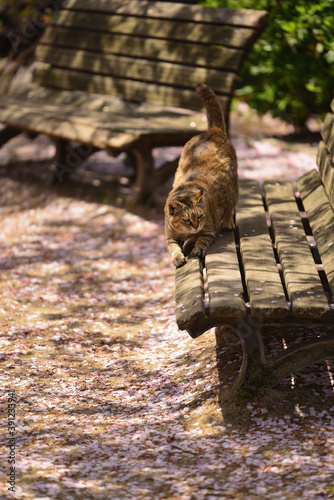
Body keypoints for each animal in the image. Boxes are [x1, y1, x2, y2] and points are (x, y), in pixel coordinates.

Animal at [164, 84, 237, 268]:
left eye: (199, 216)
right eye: (187, 220)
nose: (196, 226)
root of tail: (213, 130)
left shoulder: (208, 230)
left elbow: (201, 240)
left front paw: (195, 248)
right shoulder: (169, 237)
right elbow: (173, 248)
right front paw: (178, 256)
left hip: (233, 188)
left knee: (230, 207)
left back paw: (227, 222)